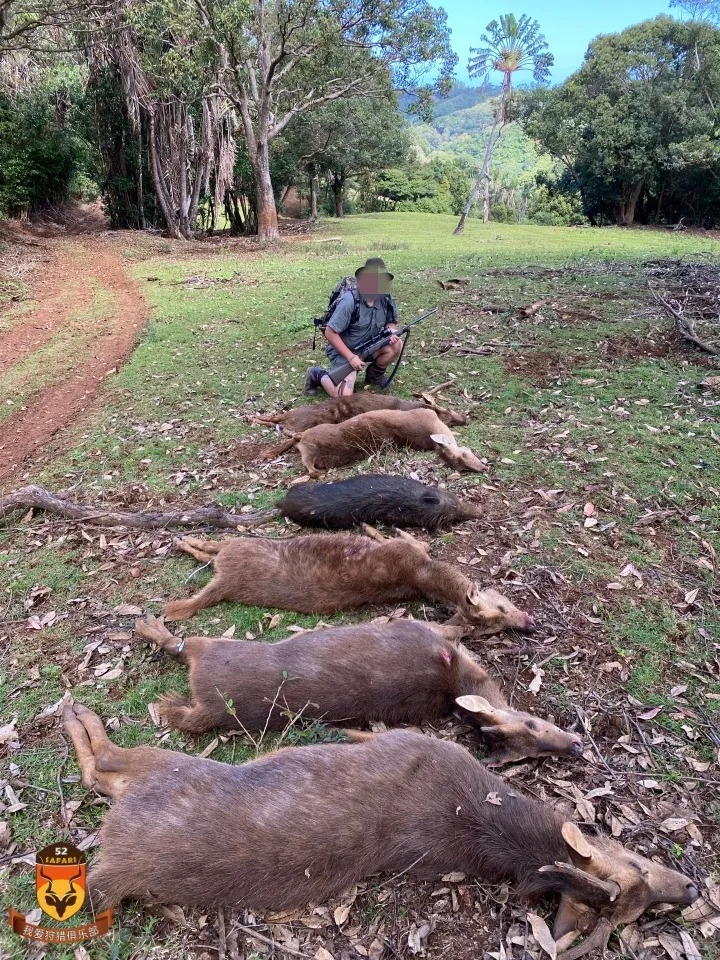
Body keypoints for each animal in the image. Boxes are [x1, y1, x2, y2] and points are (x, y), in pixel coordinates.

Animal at [63, 696, 696, 960]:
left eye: (636, 912)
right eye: (636, 868)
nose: (691, 889)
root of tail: (112, 871)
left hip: (157, 774)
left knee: (103, 766)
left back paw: (77, 713)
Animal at [138, 616, 584, 764]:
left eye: (530, 755)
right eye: (531, 725)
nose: (576, 745)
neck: (456, 680)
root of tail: (208, 701)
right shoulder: (423, 629)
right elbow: (460, 626)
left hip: (212, 657)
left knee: (183, 660)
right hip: (214, 650)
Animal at [163, 528, 536, 632]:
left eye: (495, 625)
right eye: (502, 609)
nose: (528, 621)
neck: (422, 575)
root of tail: (226, 583)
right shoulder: (411, 550)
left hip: (239, 549)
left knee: (210, 550)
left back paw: (183, 542)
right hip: (237, 550)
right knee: (210, 552)